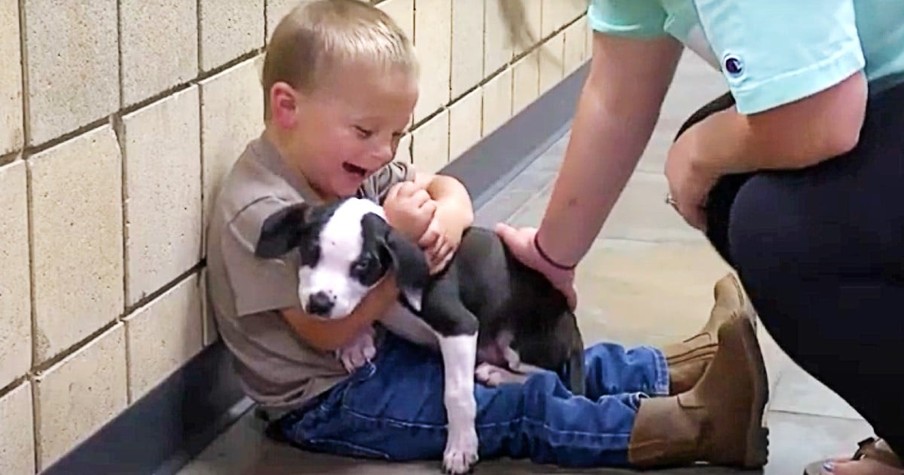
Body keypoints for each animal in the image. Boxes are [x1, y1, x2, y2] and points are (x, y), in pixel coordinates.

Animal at [256, 197, 588, 475]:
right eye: (311, 250)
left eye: (363, 264)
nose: (319, 304)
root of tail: (572, 325)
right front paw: (356, 342)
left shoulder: (460, 326)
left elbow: (457, 395)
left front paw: (461, 446)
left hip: (519, 341)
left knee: (548, 376)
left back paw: (497, 374)